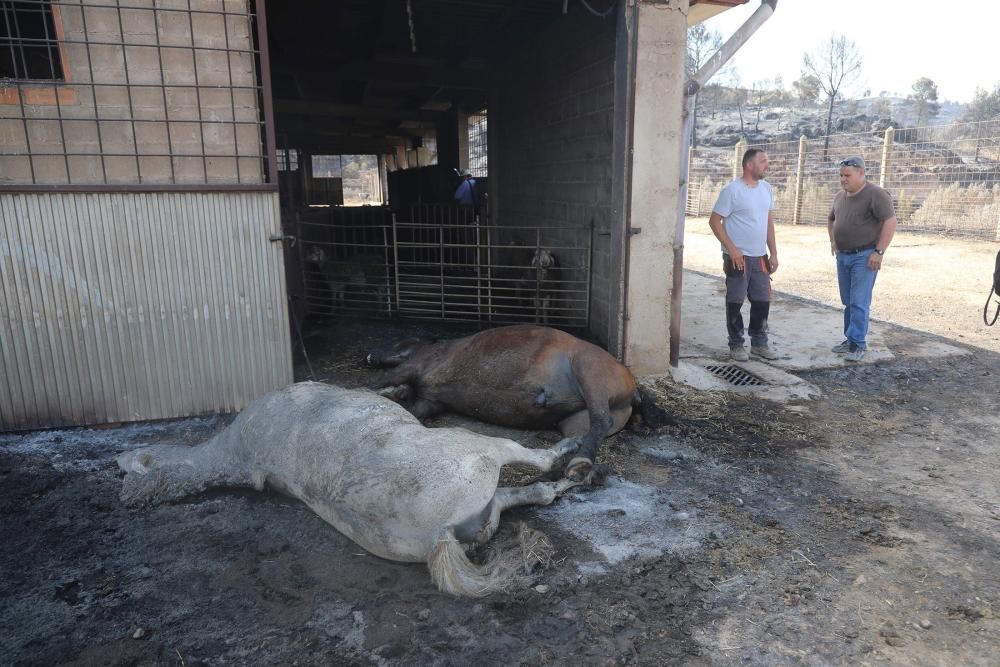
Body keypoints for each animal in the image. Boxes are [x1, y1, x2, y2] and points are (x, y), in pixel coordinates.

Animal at [117, 384, 584, 596]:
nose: (127, 498)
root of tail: (440, 535)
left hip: (481, 513)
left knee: (526, 496)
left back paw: (567, 480)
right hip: (479, 450)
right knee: (529, 461)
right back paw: (572, 457)